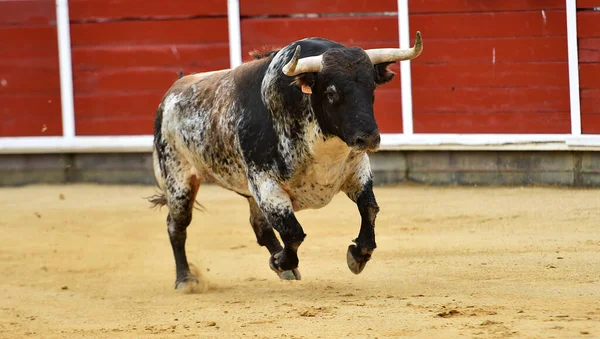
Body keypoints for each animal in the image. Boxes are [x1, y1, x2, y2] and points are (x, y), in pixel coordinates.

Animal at [149, 33, 422, 290]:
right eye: (331, 92)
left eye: (371, 88)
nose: (368, 138)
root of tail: (171, 93)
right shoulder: (266, 184)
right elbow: (293, 232)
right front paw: (281, 261)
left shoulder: (357, 170)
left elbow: (369, 208)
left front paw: (358, 255)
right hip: (178, 180)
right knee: (177, 226)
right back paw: (186, 279)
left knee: (259, 226)